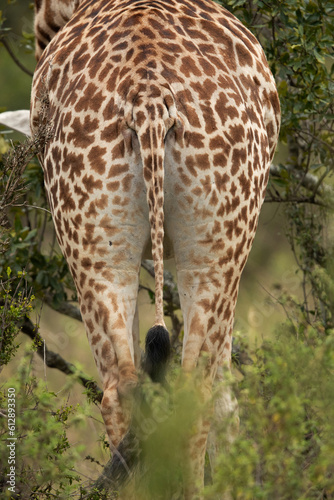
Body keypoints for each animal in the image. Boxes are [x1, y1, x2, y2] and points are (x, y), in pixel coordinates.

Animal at [31, 0, 280, 496]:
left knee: (128, 389)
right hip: (213, 251)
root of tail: (147, 99)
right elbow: (225, 398)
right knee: (191, 391)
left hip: (99, 249)